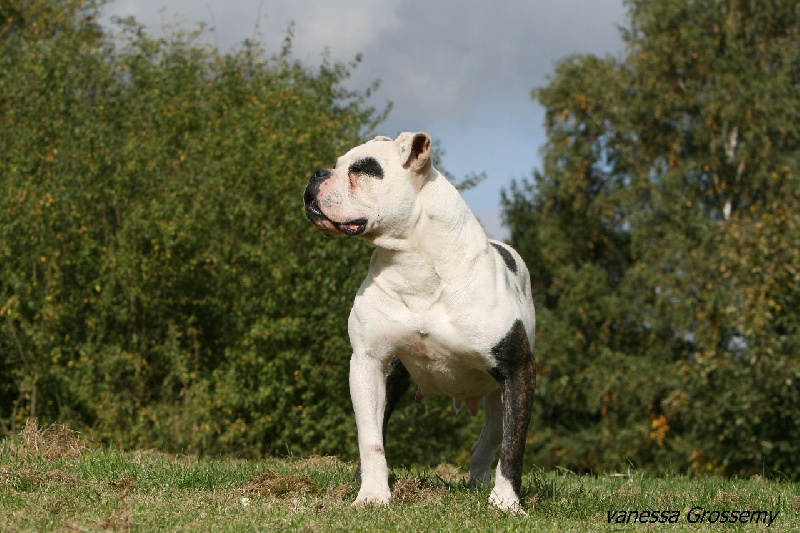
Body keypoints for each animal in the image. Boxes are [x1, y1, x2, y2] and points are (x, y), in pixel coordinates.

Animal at [304, 131, 536, 510]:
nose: (316, 173)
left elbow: (513, 446)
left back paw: (482, 485)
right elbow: (371, 438)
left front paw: (507, 503)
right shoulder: (368, 362)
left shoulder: (518, 369)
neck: (412, 261)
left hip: (496, 393)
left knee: (489, 441)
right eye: (337, 164)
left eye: (362, 168)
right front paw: (372, 495)